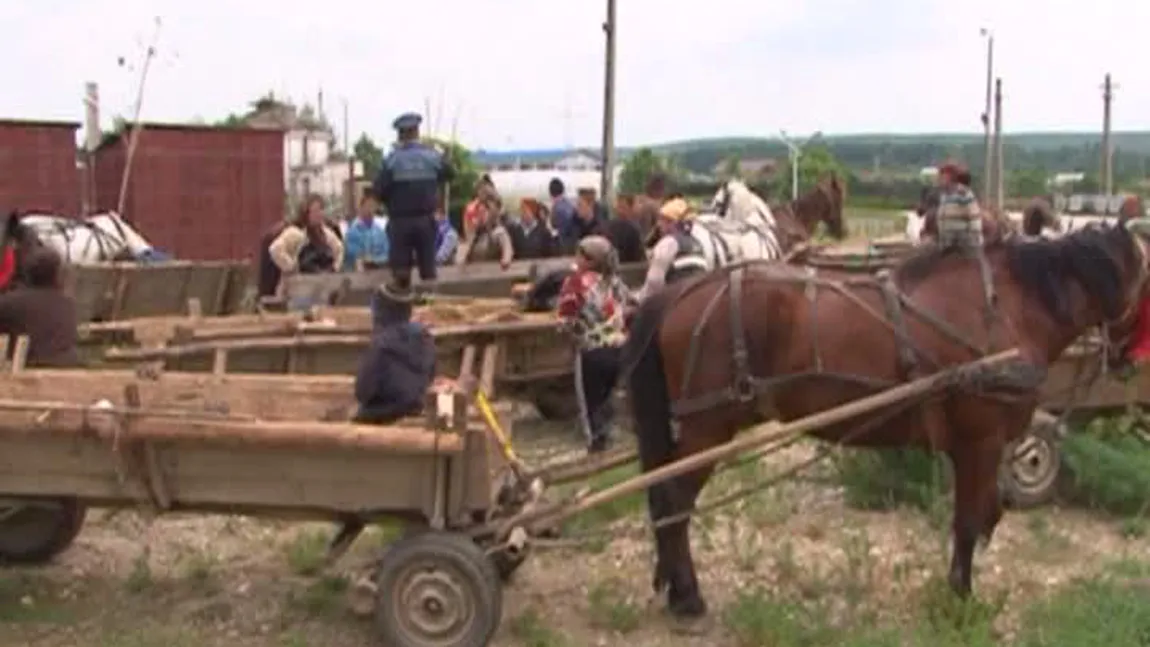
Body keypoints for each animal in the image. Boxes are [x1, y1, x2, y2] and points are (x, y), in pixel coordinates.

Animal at [621, 224, 1150, 620]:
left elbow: (986, 515)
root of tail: (678, 294)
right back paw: (688, 596)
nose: (1131, 363)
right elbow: (968, 522)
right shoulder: (980, 441)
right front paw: (959, 600)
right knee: (673, 504)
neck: (1005, 307)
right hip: (707, 428)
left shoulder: (981, 447)